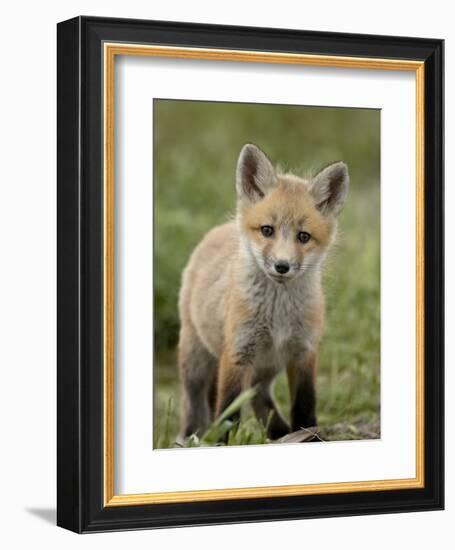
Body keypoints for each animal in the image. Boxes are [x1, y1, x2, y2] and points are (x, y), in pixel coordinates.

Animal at [178, 143, 350, 444]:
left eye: (303, 236)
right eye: (267, 230)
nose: (282, 266)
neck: (277, 314)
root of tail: (218, 230)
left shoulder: (304, 352)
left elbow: (305, 406)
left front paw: (309, 436)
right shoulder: (237, 352)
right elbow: (228, 411)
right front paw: (223, 444)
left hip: (266, 368)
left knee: (260, 398)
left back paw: (279, 433)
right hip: (196, 361)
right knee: (194, 404)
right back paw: (189, 438)